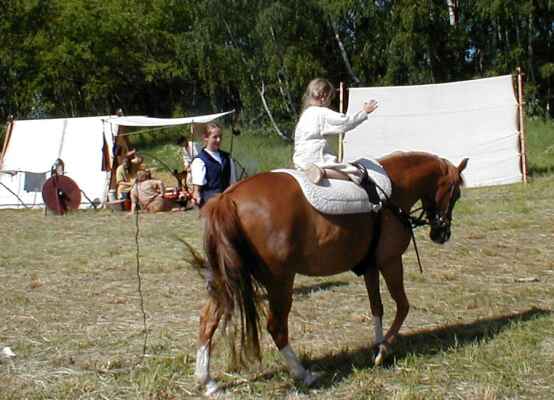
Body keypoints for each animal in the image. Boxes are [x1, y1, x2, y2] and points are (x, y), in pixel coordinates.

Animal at [189, 151, 469, 396]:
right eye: (456, 194)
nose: (442, 233)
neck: (391, 192)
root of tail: (228, 198)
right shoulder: (391, 262)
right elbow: (402, 305)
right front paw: (383, 350)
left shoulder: (370, 267)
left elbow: (377, 307)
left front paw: (377, 344)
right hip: (280, 282)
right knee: (276, 327)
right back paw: (304, 374)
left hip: (227, 279)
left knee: (208, 319)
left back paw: (207, 381)